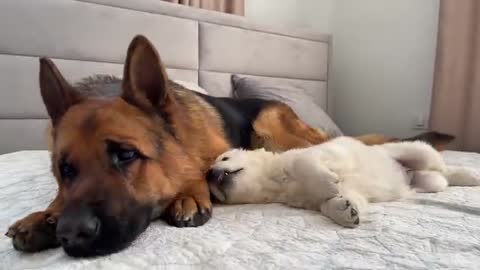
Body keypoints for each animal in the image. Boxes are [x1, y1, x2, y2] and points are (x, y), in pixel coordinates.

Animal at [5, 34, 452, 256]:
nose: (71, 235)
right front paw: (44, 216)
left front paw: (187, 194)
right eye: (65, 170)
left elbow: (198, 173)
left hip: (272, 124)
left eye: (126, 155)